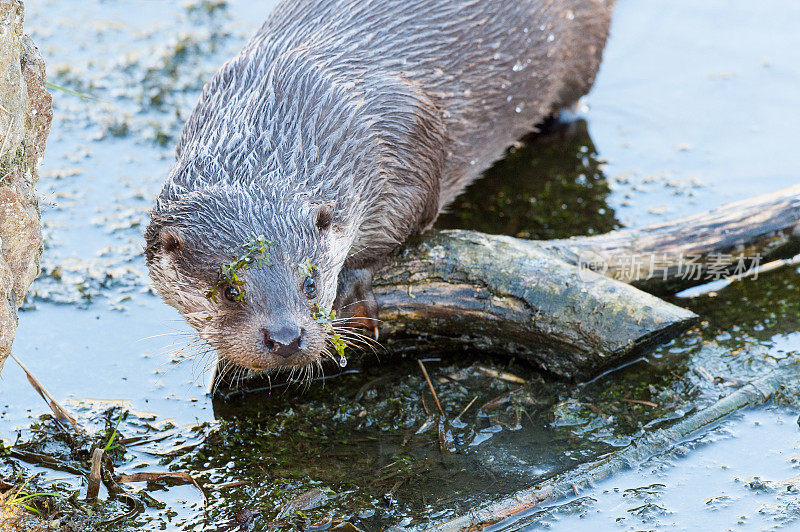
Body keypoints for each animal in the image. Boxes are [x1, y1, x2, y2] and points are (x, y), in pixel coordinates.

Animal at [147, 0, 616, 374]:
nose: (285, 338)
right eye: (229, 291)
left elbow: (405, 222)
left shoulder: (407, 136)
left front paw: (355, 288)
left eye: (310, 282)